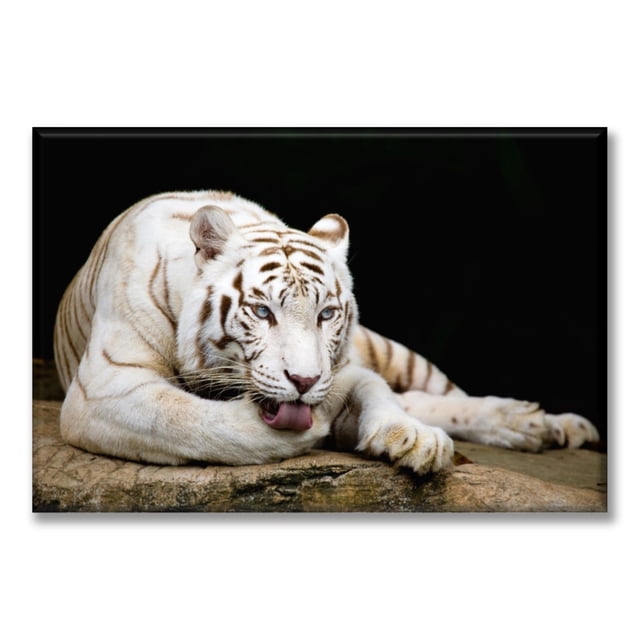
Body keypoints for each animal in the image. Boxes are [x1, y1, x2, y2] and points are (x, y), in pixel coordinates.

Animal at [53, 190, 599, 474]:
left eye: (326, 315)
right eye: (262, 311)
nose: (304, 381)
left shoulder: (346, 368)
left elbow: (377, 391)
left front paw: (414, 439)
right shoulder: (104, 388)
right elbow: (189, 420)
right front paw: (311, 430)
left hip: (391, 350)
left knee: (438, 394)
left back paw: (545, 424)